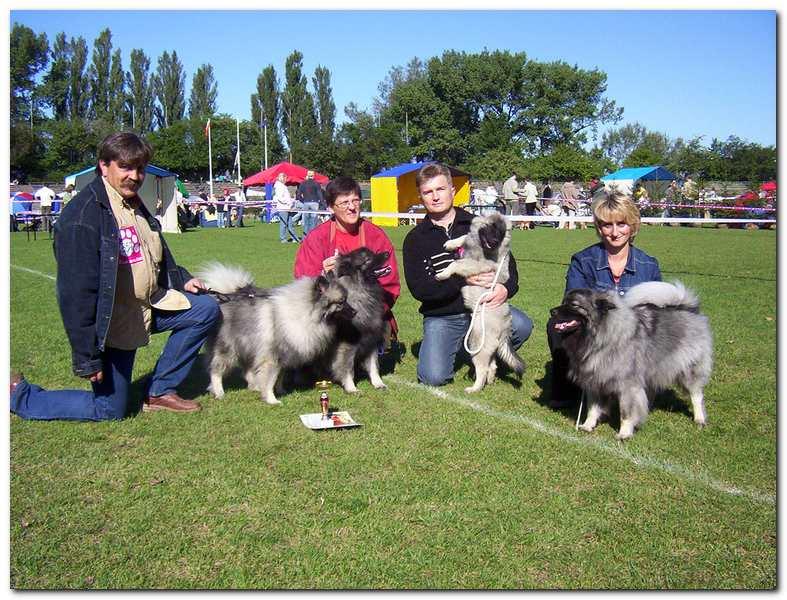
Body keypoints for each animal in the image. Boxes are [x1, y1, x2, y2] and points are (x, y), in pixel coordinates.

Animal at [199, 264, 356, 408]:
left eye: (346, 299)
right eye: (341, 302)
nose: (355, 312)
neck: (305, 313)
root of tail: (223, 296)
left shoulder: (283, 356)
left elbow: (279, 377)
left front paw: (280, 391)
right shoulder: (272, 357)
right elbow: (270, 380)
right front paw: (271, 399)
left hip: (249, 346)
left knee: (247, 369)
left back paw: (254, 387)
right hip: (228, 348)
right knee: (215, 371)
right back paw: (219, 392)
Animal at [330, 246, 392, 392]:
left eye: (373, 252)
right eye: (367, 260)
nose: (387, 253)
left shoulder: (372, 340)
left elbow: (374, 366)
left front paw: (378, 383)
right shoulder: (347, 346)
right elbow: (347, 368)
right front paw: (351, 388)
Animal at [434, 212, 528, 394]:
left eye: (501, 232)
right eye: (491, 227)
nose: (495, 242)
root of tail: (505, 328)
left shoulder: (477, 265)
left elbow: (456, 263)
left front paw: (443, 274)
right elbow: (465, 236)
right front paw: (452, 243)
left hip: (477, 342)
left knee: (483, 368)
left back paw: (474, 388)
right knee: (492, 366)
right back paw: (489, 381)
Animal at [556, 278, 716, 438]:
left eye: (574, 305)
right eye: (564, 302)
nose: (552, 312)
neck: (601, 338)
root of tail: (689, 308)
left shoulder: (627, 386)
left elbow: (626, 413)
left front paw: (624, 433)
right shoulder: (595, 383)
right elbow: (593, 409)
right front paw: (588, 425)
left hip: (688, 370)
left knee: (696, 395)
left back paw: (699, 419)